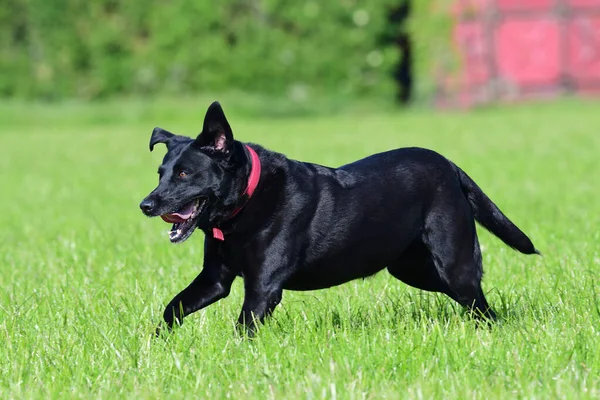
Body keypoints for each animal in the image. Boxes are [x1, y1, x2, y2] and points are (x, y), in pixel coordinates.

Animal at [142, 101, 540, 332]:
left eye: (184, 174)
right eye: (160, 173)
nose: (146, 205)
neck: (246, 202)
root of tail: (450, 165)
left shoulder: (263, 288)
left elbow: (244, 328)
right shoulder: (215, 279)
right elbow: (172, 309)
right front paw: (159, 344)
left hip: (452, 261)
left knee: (478, 301)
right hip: (412, 268)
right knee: (472, 300)